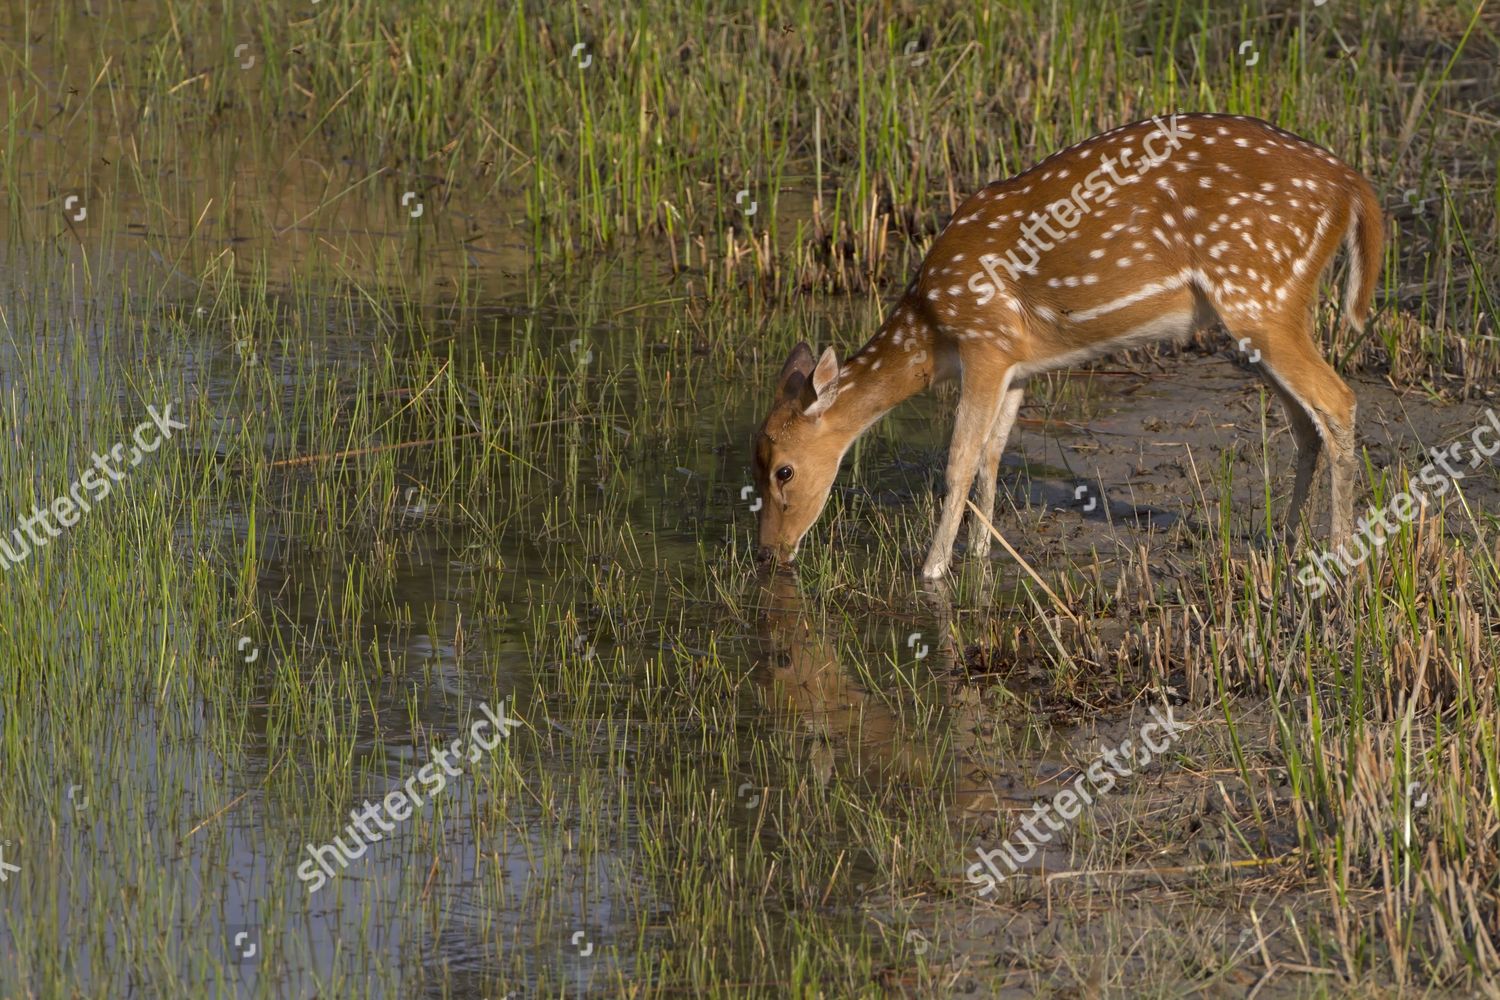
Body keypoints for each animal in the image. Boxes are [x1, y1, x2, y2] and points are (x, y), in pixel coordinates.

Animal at [756, 111, 1386, 578]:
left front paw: (932, 572)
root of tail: (1353, 186)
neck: (933, 331)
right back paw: (1285, 539)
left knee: (1338, 401)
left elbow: (958, 459)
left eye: (784, 470)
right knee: (1306, 422)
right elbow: (991, 456)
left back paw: (1339, 553)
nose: (769, 550)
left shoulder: (985, 339)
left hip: (1258, 292)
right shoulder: (1016, 363)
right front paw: (979, 557)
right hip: (1266, 309)